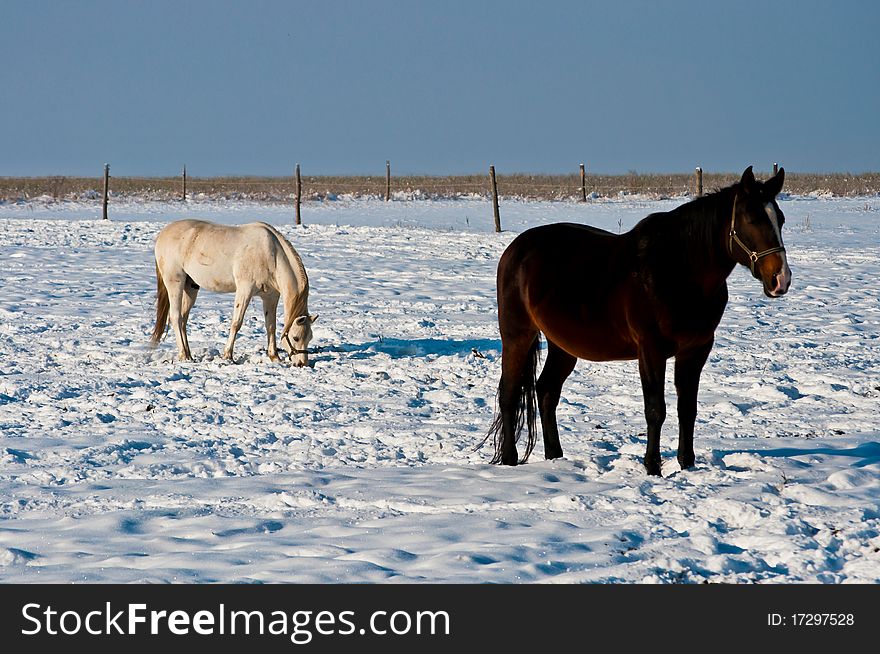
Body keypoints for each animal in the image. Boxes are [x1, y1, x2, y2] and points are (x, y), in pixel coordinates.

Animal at [150, 219, 316, 364]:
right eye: (296, 337)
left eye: (310, 338)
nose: (302, 363)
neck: (271, 254)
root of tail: (163, 234)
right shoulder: (245, 289)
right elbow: (236, 323)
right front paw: (227, 355)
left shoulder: (270, 297)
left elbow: (271, 326)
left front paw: (274, 357)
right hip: (174, 283)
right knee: (176, 317)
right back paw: (183, 355)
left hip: (190, 286)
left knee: (183, 319)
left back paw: (189, 355)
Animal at [488, 167, 792, 474]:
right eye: (752, 219)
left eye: (780, 219)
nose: (781, 279)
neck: (677, 270)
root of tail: (516, 250)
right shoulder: (651, 350)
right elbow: (656, 410)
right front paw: (653, 467)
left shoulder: (695, 350)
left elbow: (687, 409)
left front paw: (687, 465)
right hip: (517, 336)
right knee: (510, 395)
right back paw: (510, 459)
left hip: (562, 345)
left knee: (546, 390)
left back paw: (555, 456)